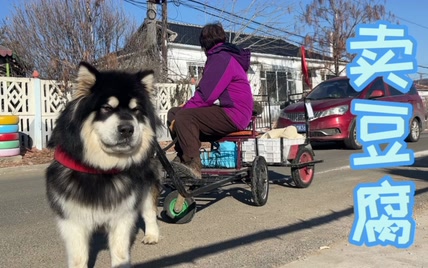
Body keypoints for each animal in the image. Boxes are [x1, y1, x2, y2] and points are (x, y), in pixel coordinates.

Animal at [45, 61, 160, 266]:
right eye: (107, 107)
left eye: (136, 110)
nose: (127, 129)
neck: (100, 169)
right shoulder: (72, 219)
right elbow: (79, 257)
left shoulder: (123, 214)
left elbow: (120, 252)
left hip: (147, 184)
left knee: (149, 211)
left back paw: (152, 235)